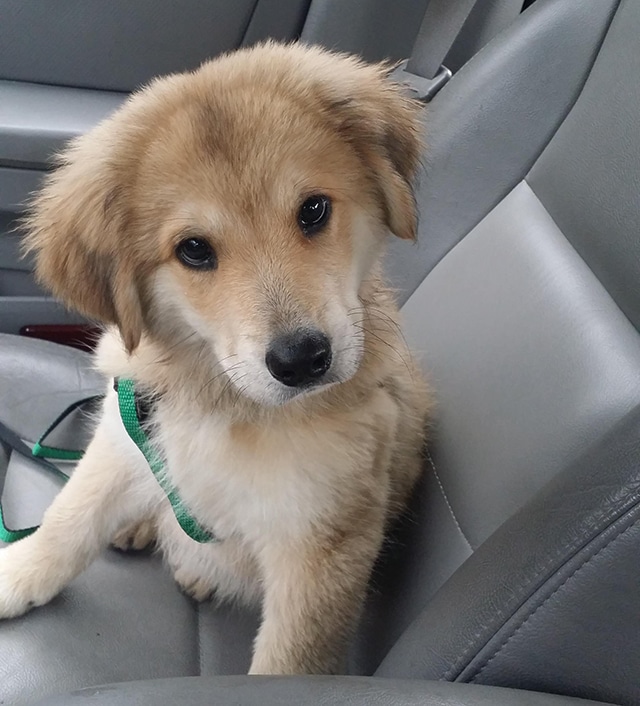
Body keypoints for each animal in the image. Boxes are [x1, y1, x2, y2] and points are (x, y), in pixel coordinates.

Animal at [1, 42, 430, 672]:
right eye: (194, 250)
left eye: (314, 210)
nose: (302, 359)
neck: (222, 398)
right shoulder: (127, 429)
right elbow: (69, 518)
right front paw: (18, 572)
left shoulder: (320, 545)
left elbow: (289, 663)